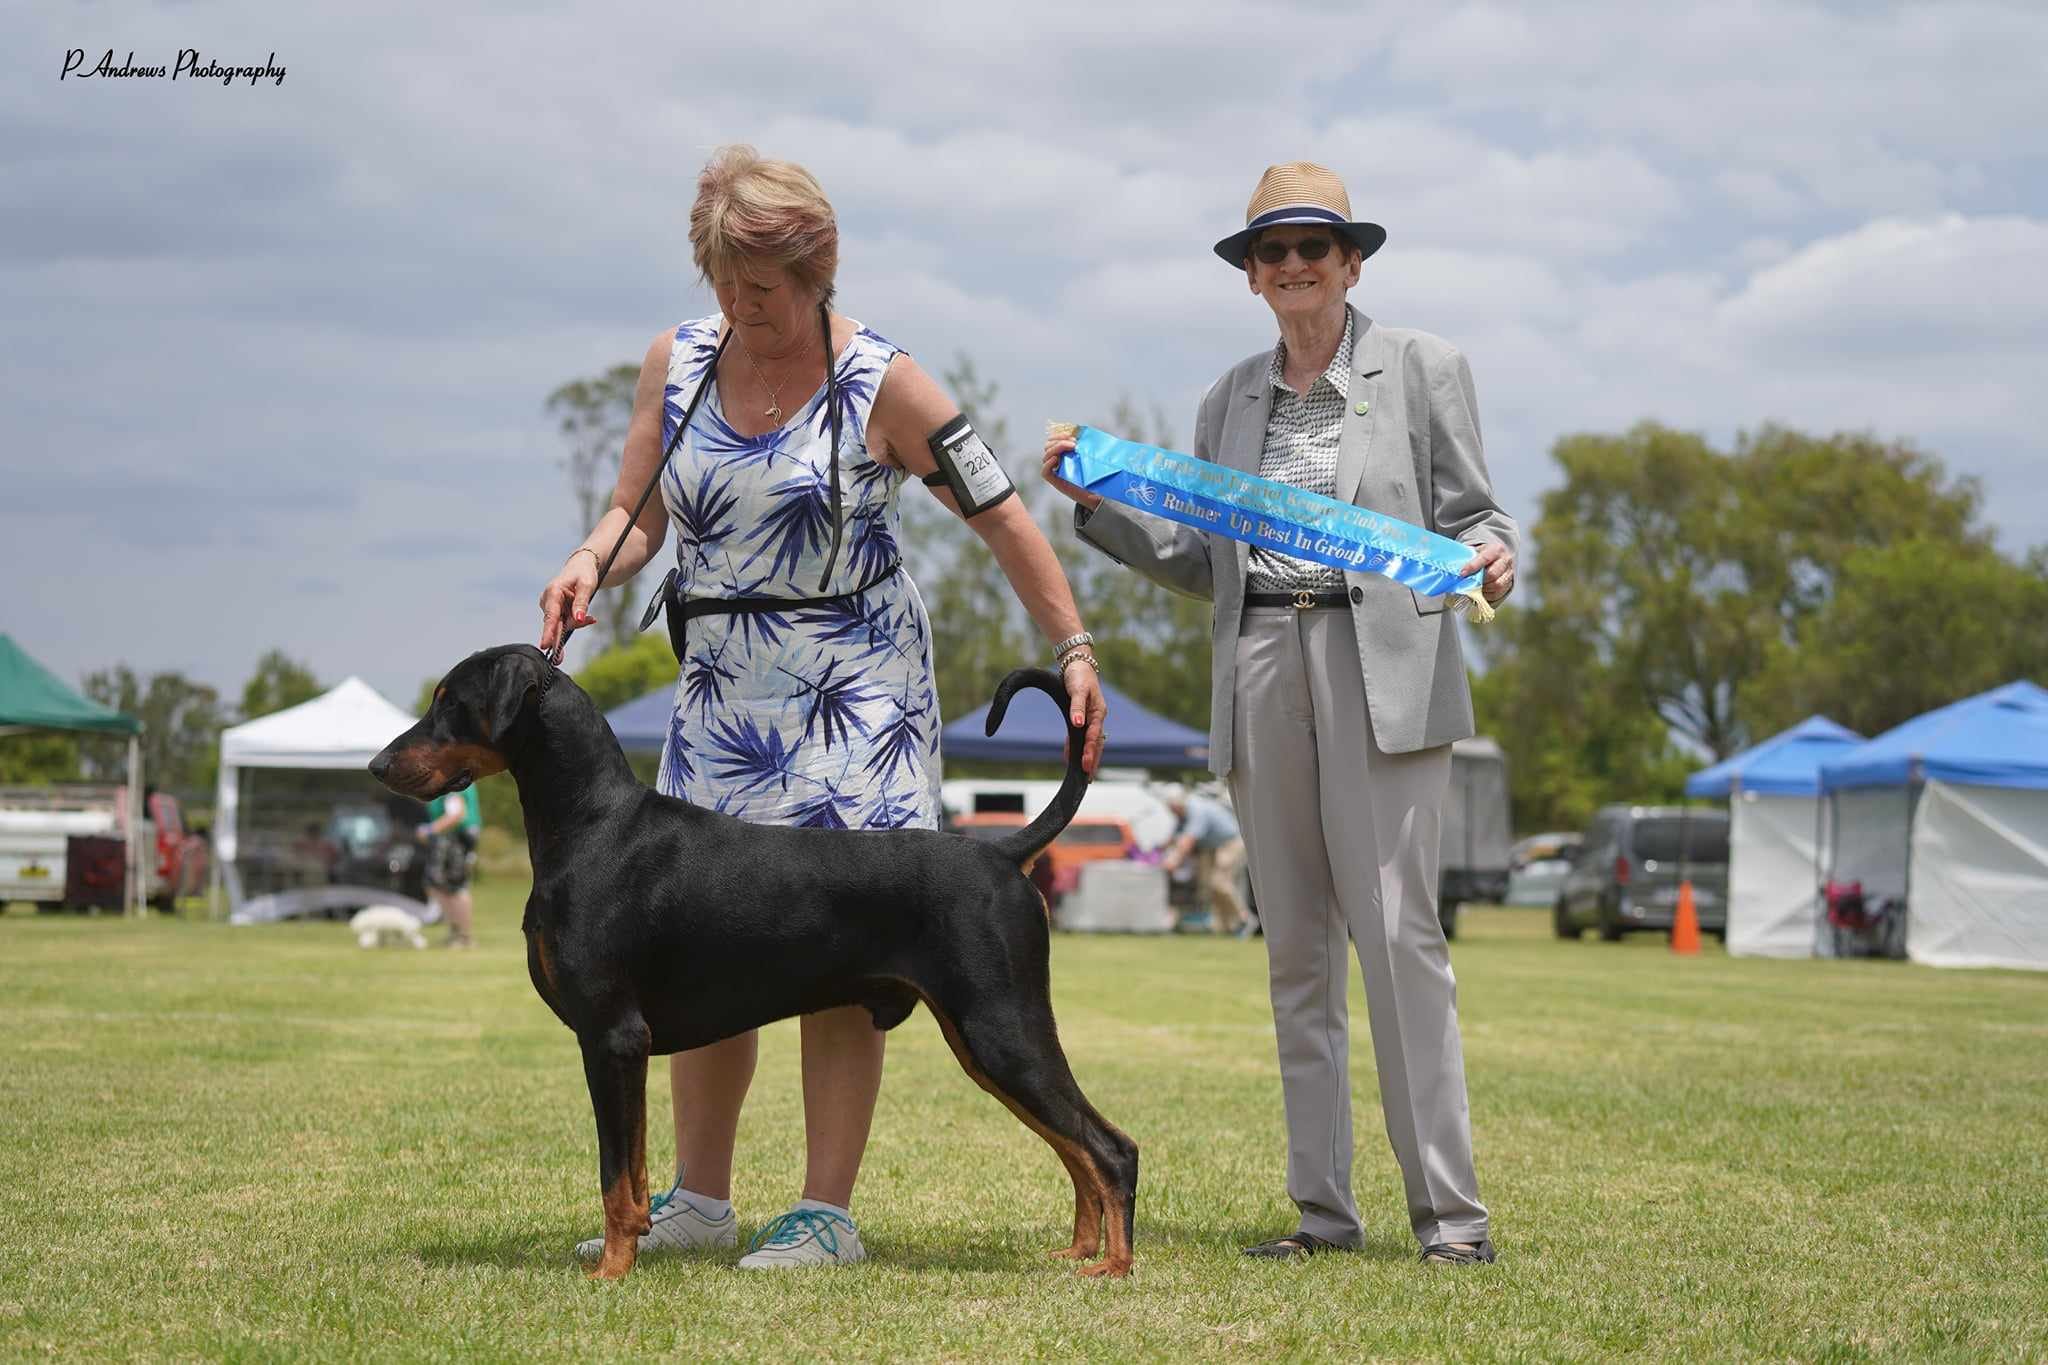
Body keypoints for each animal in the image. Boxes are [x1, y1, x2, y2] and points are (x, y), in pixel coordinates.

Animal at [369, 644, 1136, 1280]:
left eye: (450, 701)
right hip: (984, 1042)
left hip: (1002, 1029)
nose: (377, 766)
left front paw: (610, 1274)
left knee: (1111, 1147)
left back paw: (1114, 1266)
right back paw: (1076, 1251)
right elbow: (636, 1174)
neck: (591, 825)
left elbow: (614, 1176)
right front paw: (634, 1247)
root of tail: (1005, 850)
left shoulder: (611, 1038)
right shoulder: (626, 1050)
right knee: (1076, 1149)